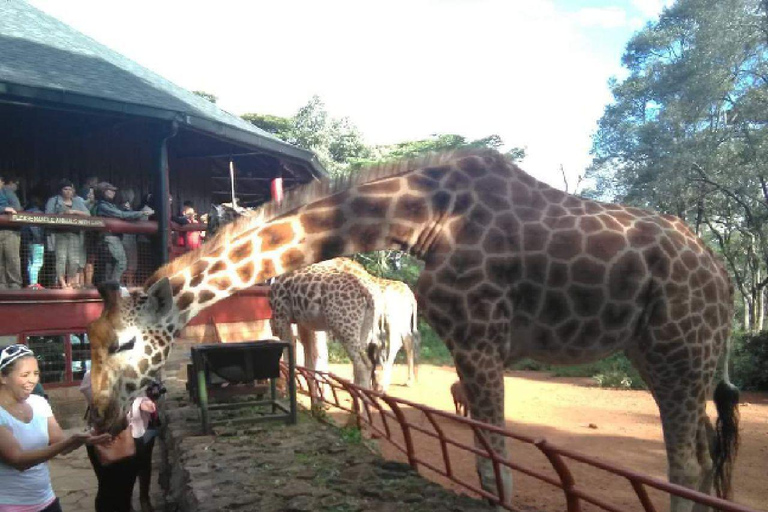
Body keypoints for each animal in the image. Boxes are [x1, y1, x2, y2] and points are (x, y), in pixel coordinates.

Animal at [84, 149, 736, 512]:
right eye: (89, 343)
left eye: (123, 343)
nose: (99, 417)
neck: (422, 220)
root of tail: (722, 275)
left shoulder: (479, 335)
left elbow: (494, 462)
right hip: (662, 352)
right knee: (706, 456)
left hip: (682, 346)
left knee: (687, 468)